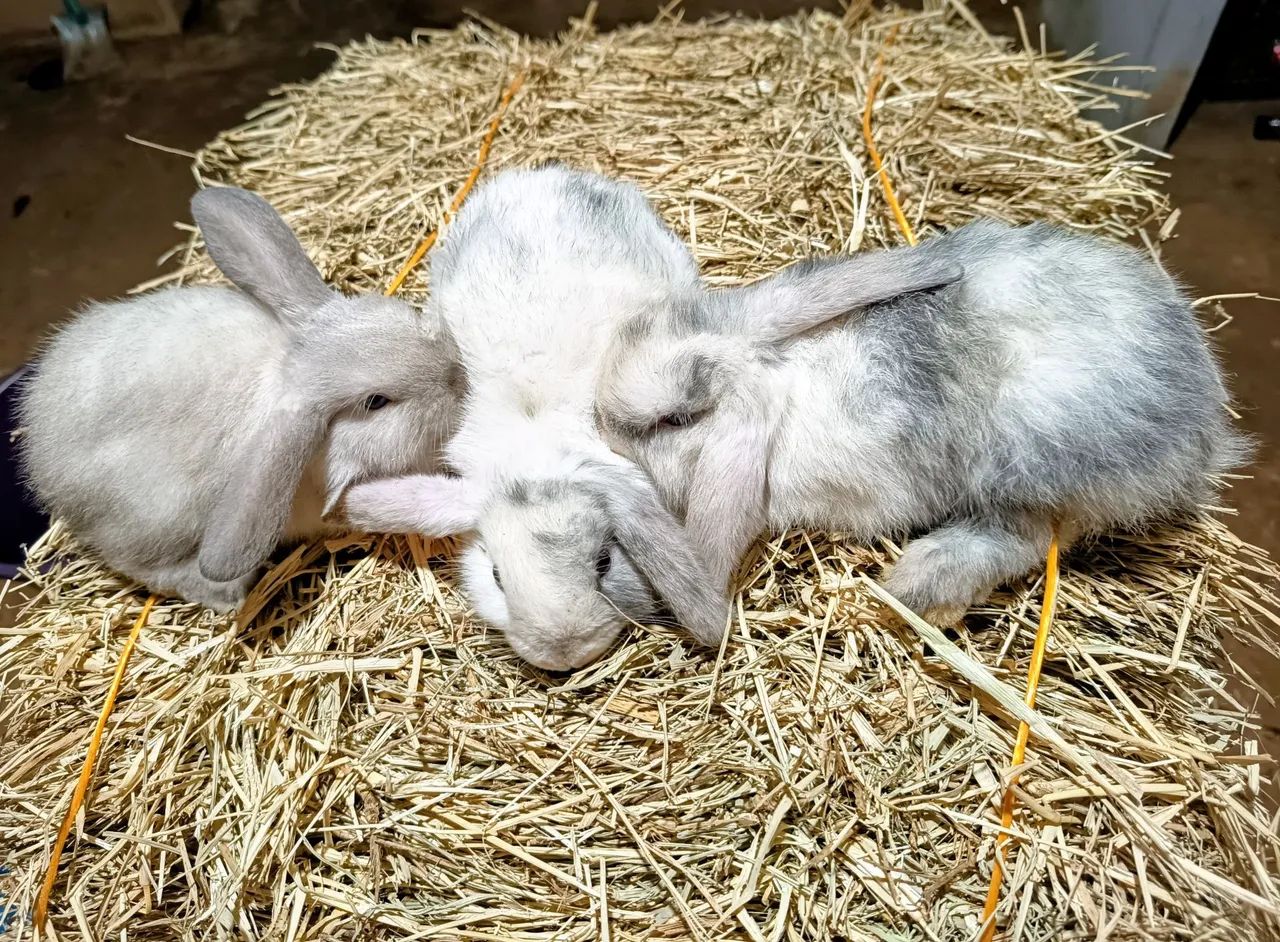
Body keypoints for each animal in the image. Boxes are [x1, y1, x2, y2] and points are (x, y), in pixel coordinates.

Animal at [18, 185, 463, 612]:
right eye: (376, 402)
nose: (455, 375)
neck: (288, 372)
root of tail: (41, 458)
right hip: (154, 518)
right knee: (142, 566)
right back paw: (226, 593)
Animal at [596, 218, 1249, 625]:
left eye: (675, 419)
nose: (602, 420)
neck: (785, 382)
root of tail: (1204, 425)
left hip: (1028, 462)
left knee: (1028, 538)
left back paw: (917, 587)